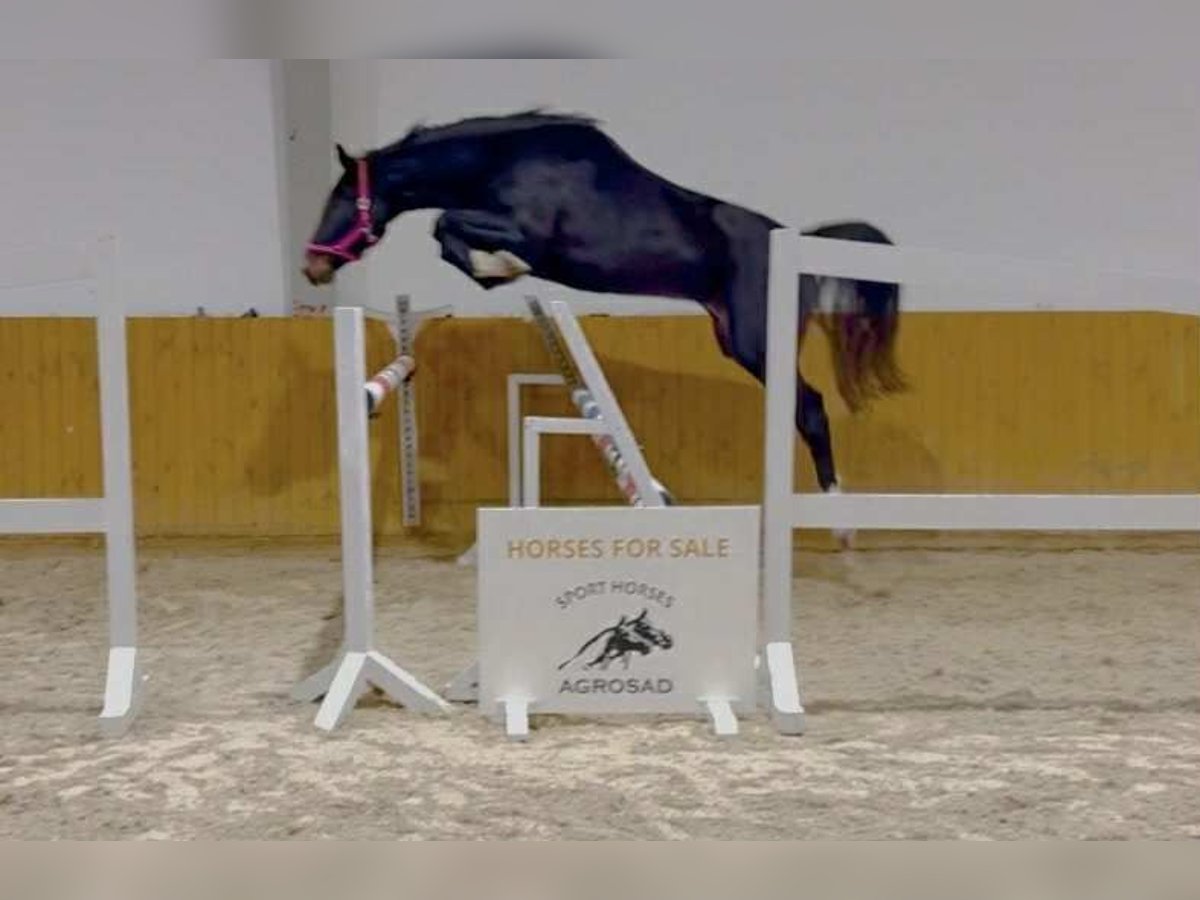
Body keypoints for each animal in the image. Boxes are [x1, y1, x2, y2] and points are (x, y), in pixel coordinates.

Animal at [303, 110, 906, 501]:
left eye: (341, 197)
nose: (312, 266)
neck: (502, 162)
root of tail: (796, 242)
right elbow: (447, 234)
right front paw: (493, 270)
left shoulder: (528, 232)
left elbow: (445, 226)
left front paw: (500, 266)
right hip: (735, 341)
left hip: (759, 345)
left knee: (811, 409)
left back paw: (835, 512)